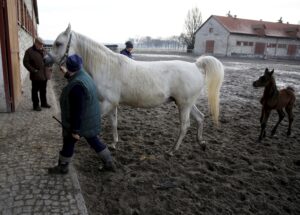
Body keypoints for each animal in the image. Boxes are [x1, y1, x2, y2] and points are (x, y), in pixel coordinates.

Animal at [45, 25, 224, 155]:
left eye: (58, 43)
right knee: (200, 118)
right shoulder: (112, 104)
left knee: (185, 126)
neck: (107, 67)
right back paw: (201, 143)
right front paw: (114, 144)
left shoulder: (107, 103)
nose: (46, 59)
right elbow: (114, 123)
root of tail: (196, 65)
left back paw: (172, 150)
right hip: (186, 104)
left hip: (184, 105)